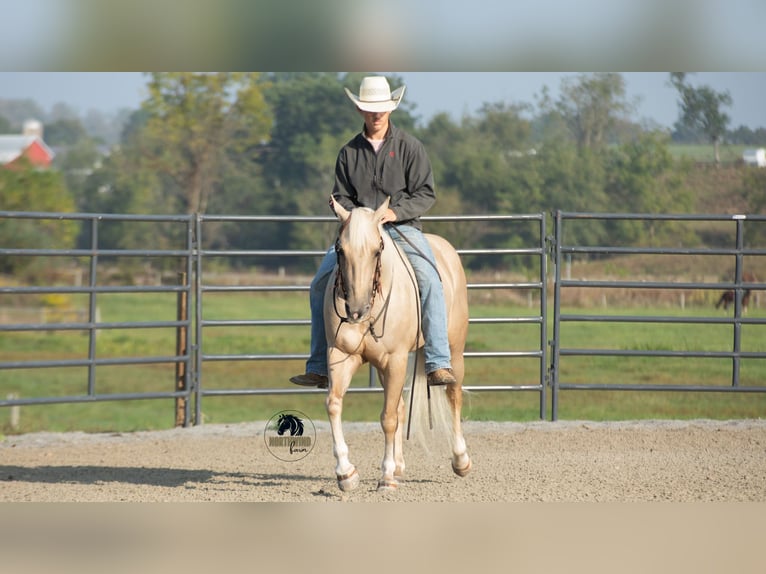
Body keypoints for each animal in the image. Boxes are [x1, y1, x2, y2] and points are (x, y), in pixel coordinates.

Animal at [324, 197, 471, 492]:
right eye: (340, 249)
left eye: (376, 250)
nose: (355, 310)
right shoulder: (341, 356)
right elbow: (334, 404)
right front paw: (346, 473)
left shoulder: (396, 359)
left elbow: (388, 418)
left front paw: (387, 476)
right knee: (402, 406)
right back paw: (401, 466)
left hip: (454, 351)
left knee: (453, 395)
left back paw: (461, 460)